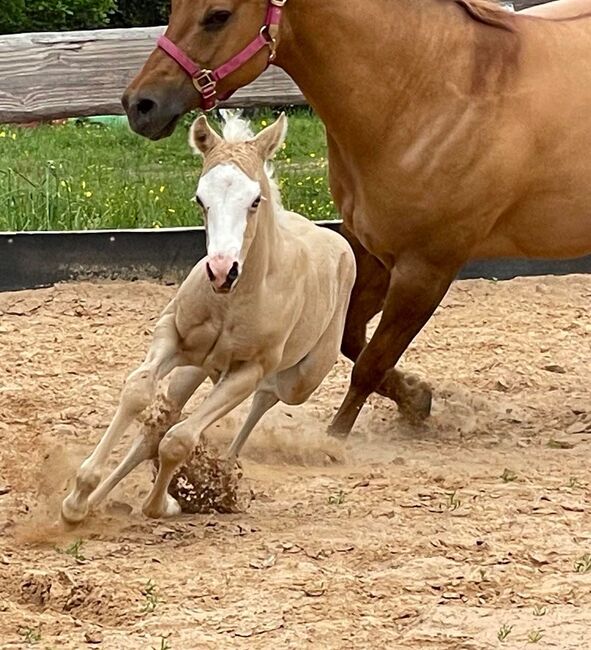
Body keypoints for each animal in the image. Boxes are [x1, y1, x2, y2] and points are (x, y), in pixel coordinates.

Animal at [61, 114, 356, 520]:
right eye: (201, 198)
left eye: (255, 200)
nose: (221, 271)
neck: (232, 301)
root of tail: (334, 237)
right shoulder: (171, 334)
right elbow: (139, 393)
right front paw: (77, 500)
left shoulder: (248, 371)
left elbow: (179, 439)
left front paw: (162, 504)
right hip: (195, 367)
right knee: (160, 423)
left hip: (299, 380)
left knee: (266, 396)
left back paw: (227, 466)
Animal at [121, 1, 591, 436]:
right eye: (175, 7)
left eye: (218, 15)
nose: (139, 103)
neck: (431, 91)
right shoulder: (375, 250)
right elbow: (351, 339)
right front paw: (417, 398)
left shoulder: (426, 269)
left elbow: (371, 361)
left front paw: (336, 439)